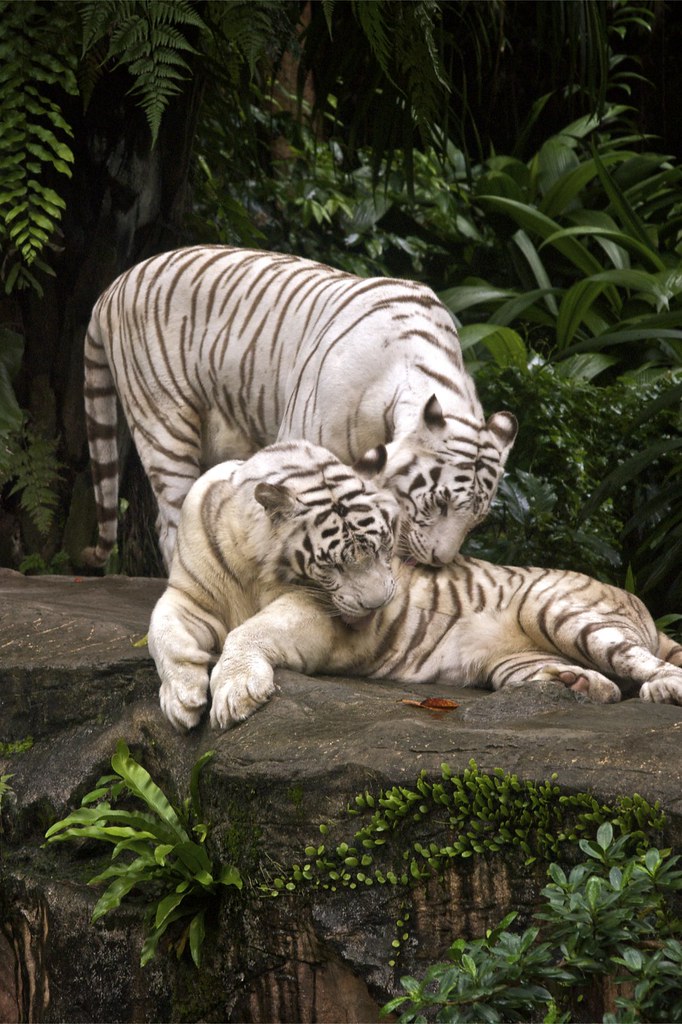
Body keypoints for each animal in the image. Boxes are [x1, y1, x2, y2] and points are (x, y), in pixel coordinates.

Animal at [82, 245, 517, 572]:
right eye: (440, 503)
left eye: (477, 520)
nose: (438, 562)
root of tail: (115, 284)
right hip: (164, 424)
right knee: (173, 519)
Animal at [147, 441, 682, 732]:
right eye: (333, 563)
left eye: (385, 546)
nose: (379, 604)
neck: (250, 557)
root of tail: (640, 604)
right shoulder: (187, 593)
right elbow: (160, 631)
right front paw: (182, 697)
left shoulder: (317, 610)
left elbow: (249, 630)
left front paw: (234, 691)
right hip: (513, 662)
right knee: (605, 686)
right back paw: (577, 684)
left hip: (557, 610)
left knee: (646, 663)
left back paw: (662, 689)